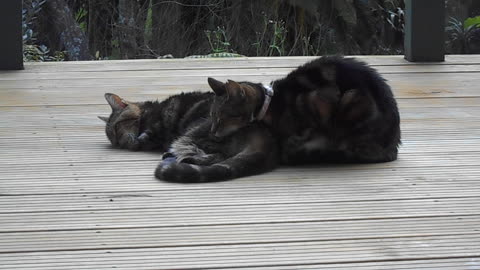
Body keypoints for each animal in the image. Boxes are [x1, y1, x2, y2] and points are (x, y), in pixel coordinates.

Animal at [98, 89, 278, 184]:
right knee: (218, 155)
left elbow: (147, 134)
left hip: (193, 132)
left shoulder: (157, 123)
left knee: (212, 154)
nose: (120, 143)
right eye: (113, 141)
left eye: (117, 128)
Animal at [209, 56, 402, 163]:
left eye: (221, 117)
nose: (212, 132)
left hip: (352, 98)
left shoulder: (321, 100)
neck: (271, 103)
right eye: (213, 115)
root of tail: (393, 145)